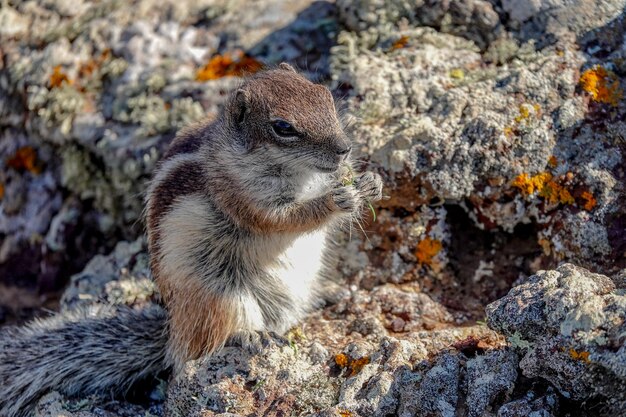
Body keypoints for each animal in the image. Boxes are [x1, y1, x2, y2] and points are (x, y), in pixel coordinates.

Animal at [0, 62, 380, 416]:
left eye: (324, 95)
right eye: (283, 128)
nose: (344, 149)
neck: (296, 174)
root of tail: (173, 333)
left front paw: (369, 180)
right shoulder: (240, 196)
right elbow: (284, 219)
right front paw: (337, 200)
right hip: (220, 296)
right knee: (211, 340)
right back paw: (251, 335)